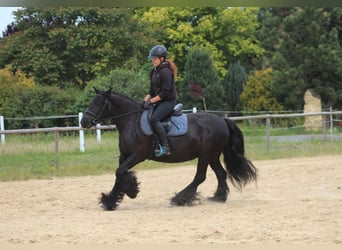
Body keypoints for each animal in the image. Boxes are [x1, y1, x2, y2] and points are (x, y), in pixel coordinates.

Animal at [80, 89, 256, 210]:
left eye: (98, 103)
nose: (84, 121)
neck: (131, 121)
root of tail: (222, 120)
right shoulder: (124, 156)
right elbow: (119, 174)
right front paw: (110, 201)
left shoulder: (137, 156)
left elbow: (120, 172)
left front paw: (132, 190)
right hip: (212, 156)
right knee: (221, 174)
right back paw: (218, 197)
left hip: (206, 155)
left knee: (200, 176)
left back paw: (180, 199)